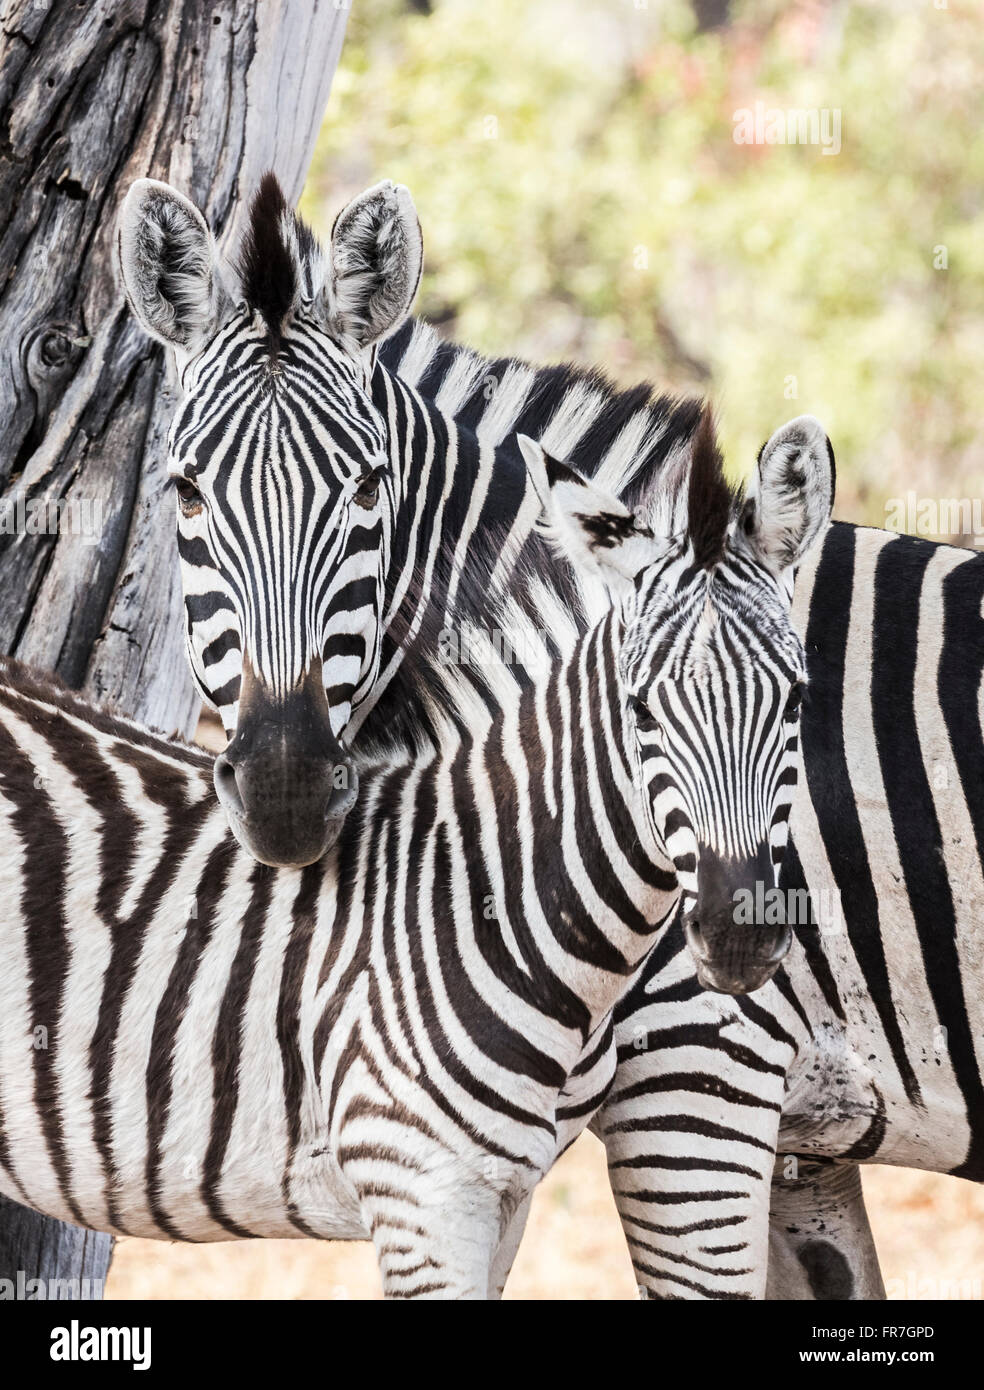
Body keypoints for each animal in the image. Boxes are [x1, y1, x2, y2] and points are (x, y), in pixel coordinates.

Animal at [0, 412, 831, 1298]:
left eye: (796, 700)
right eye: (639, 709)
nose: (740, 936)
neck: (490, 899)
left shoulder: (506, 1197)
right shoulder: (419, 1191)